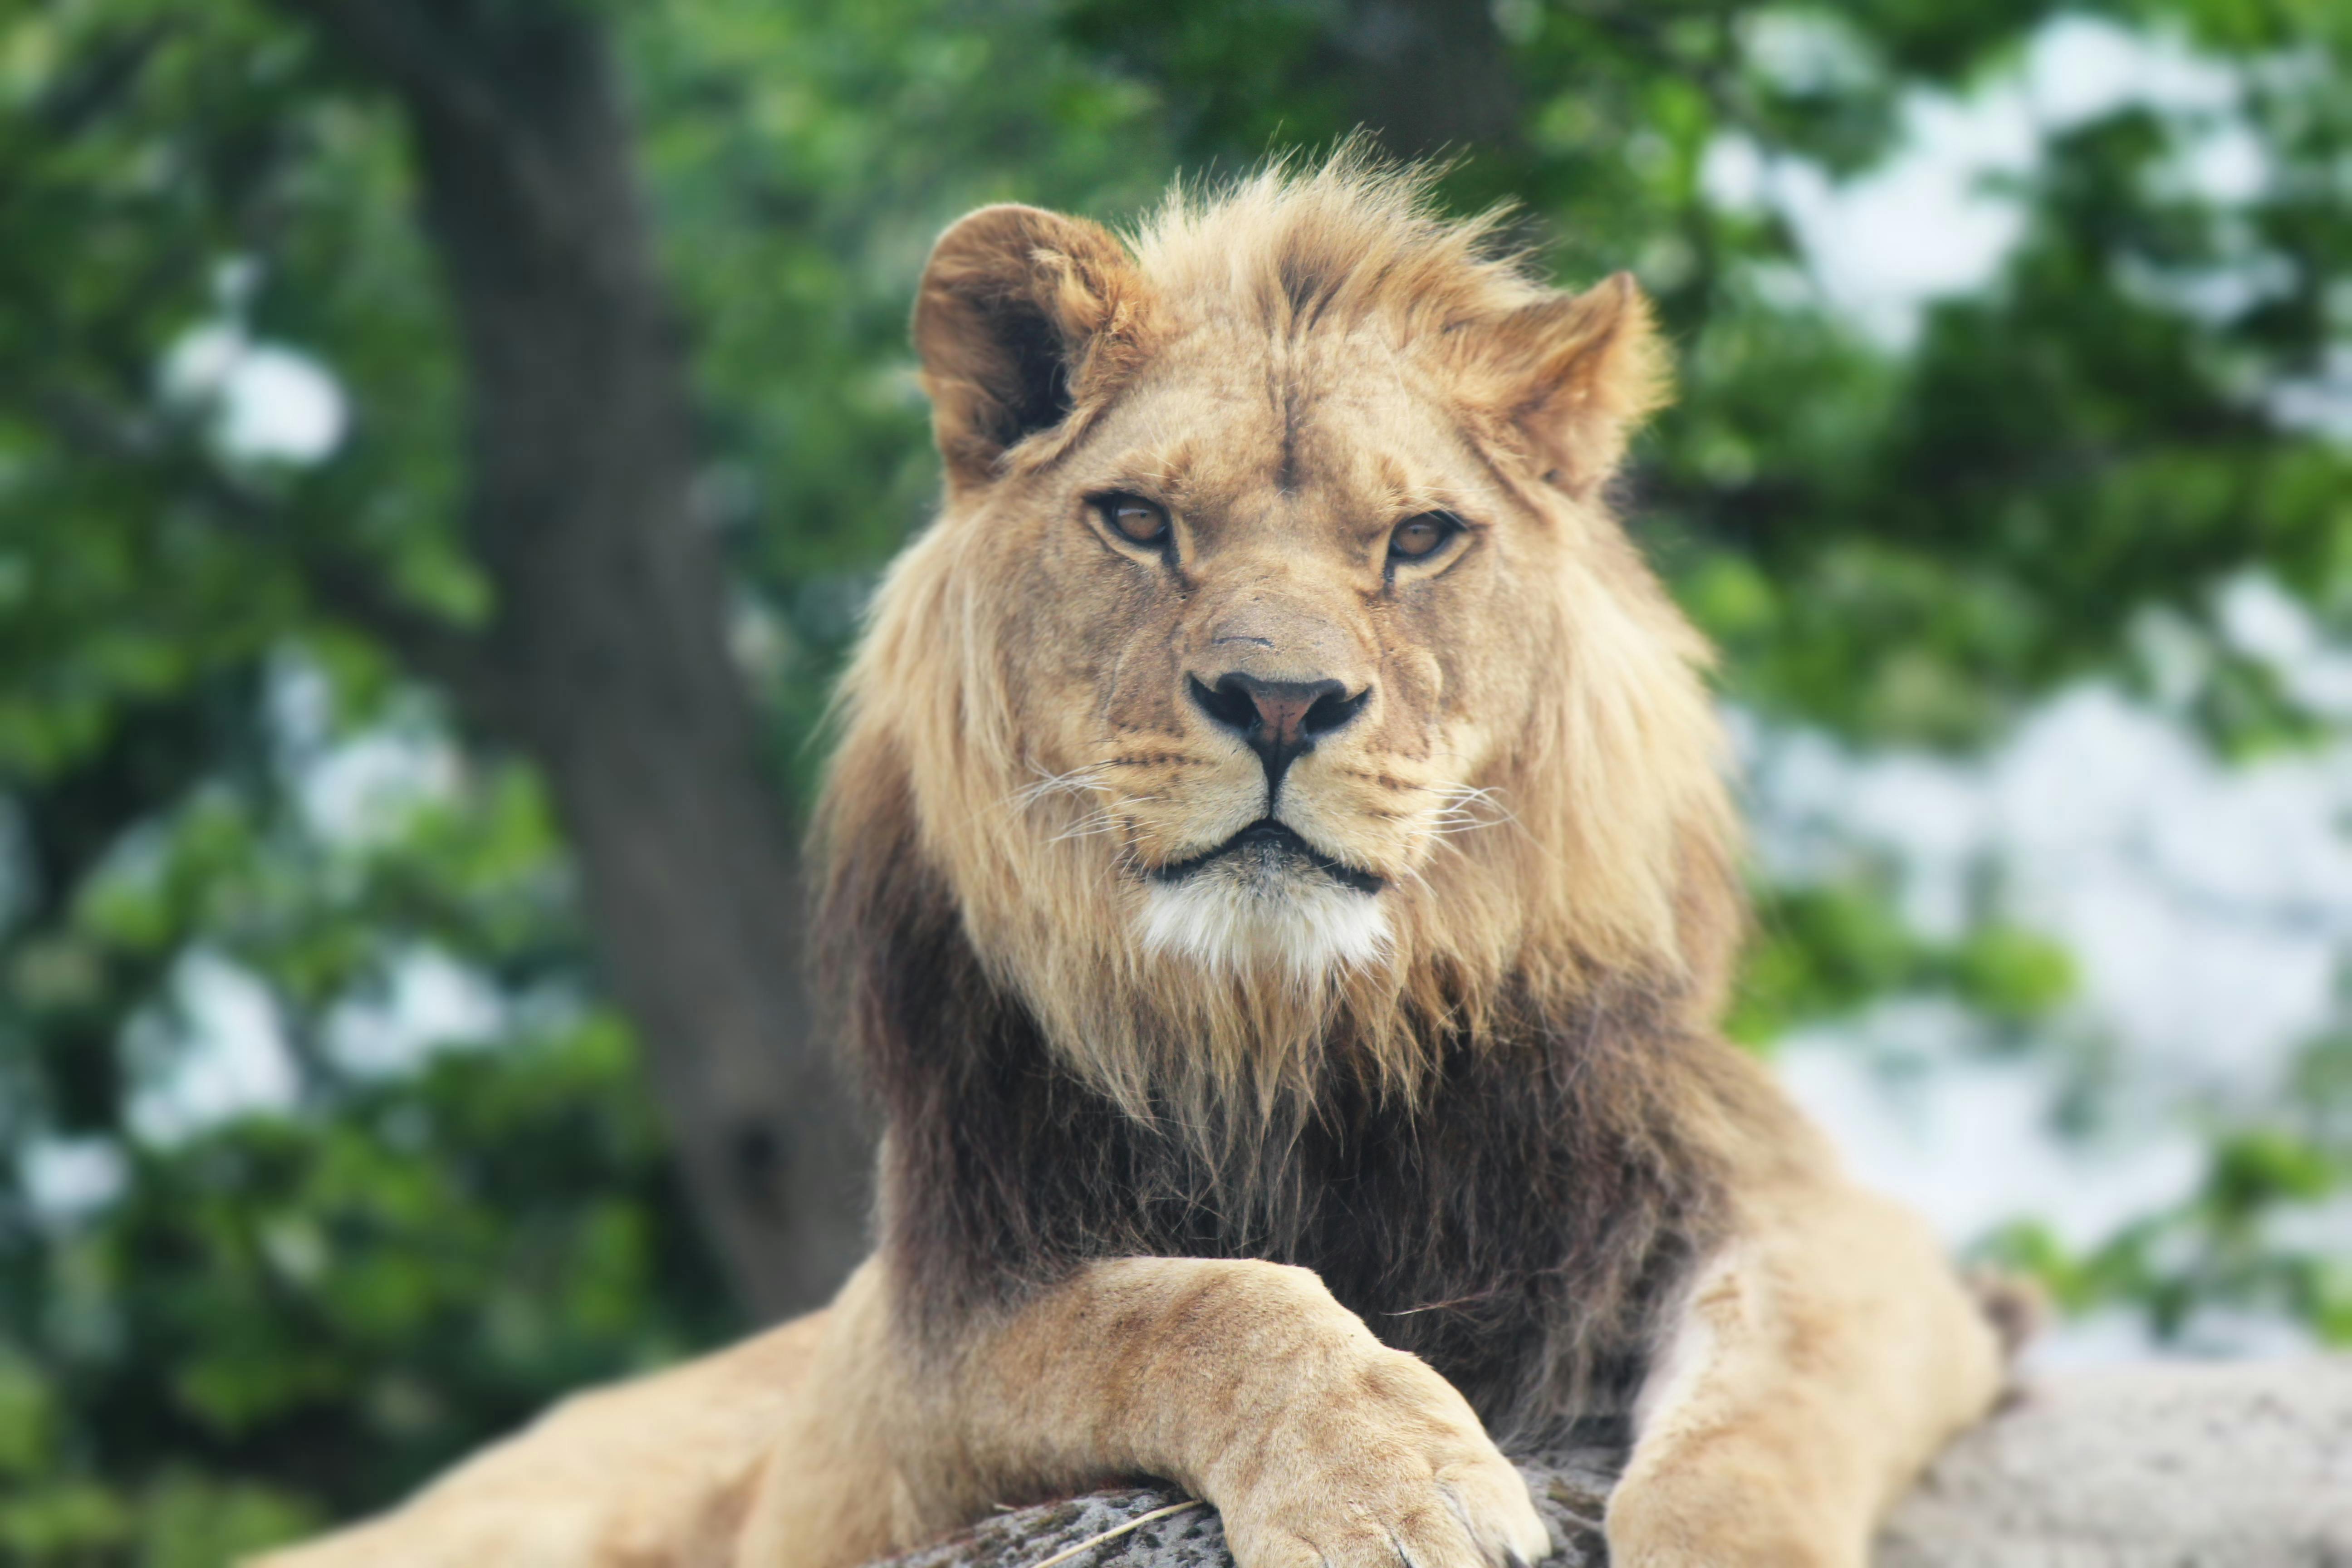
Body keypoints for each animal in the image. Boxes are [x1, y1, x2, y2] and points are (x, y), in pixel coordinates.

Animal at [258, 152, 2008, 1568]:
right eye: (1140, 522)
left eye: (1419, 540)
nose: (1282, 701)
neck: (1286, 1033)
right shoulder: (926, 1331)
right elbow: (1197, 1302)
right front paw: (1392, 1482)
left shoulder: (1792, 1217)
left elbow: (1756, 1429)